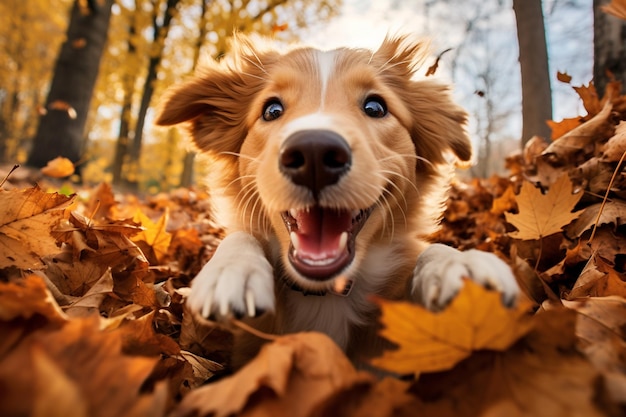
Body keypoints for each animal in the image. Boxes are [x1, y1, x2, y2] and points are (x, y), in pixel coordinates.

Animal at [156, 35, 516, 366]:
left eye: (375, 107)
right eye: (271, 109)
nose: (314, 153)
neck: (325, 292)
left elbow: (428, 250)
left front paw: (461, 266)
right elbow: (240, 235)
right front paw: (232, 269)